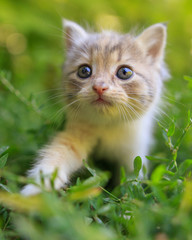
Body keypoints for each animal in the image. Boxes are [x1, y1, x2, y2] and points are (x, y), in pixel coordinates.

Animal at [21, 18, 169, 195]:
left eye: (125, 72)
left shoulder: (134, 149)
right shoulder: (73, 136)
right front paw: (37, 187)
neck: (108, 126)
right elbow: (56, 155)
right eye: (84, 70)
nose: (99, 87)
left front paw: (128, 195)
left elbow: (132, 176)